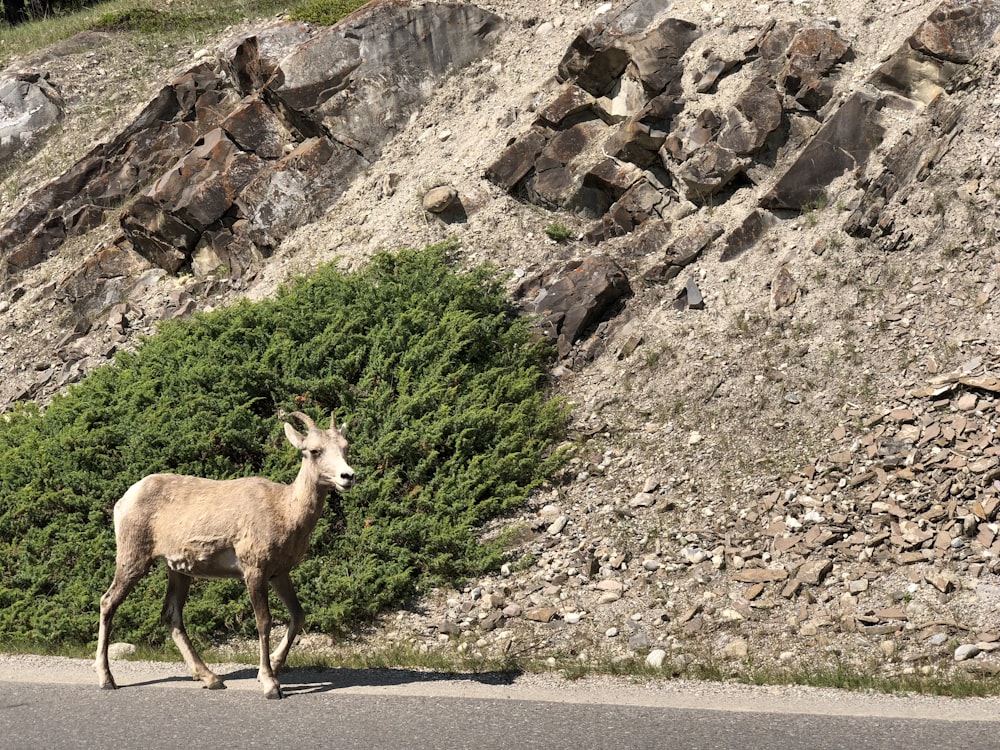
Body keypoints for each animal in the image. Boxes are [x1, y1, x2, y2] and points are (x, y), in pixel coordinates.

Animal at [96, 412, 356, 700]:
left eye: (345, 447)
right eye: (313, 450)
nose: (347, 476)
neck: (286, 511)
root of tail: (124, 500)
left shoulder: (279, 573)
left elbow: (298, 615)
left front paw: (272, 668)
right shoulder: (254, 570)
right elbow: (264, 622)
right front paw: (270, 684)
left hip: (178, 570)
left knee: (171, 614)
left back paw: (211, 678)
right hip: (133, 559)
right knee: (108, 602)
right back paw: (107, 679)